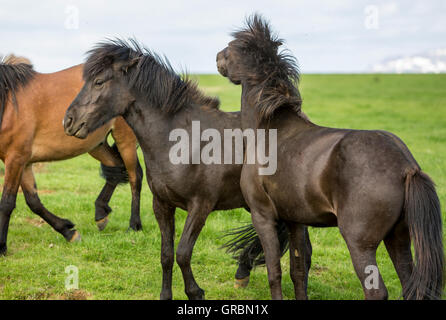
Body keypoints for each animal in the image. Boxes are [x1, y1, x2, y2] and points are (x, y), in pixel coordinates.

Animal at [0, 53, 143, 256]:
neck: (7, 104)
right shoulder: (23, 162)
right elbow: (33, 202)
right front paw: (68, 232)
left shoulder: (16, 159)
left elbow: (7, 203)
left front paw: (1, 246)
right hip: (96, 145)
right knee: (116, 169)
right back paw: (100, 213)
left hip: (126, 140)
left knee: (134, 176)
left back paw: (134, 225)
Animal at [215, 14, 442, 300]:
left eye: (232, 47)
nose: (217, 57)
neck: (268, 129)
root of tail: (406, 166)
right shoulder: (295, 221)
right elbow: (298, 271)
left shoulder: (262, 215)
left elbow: (274, 272)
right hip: (398, 238)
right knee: (408, 283)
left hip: (360, 244)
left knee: (377, 292)